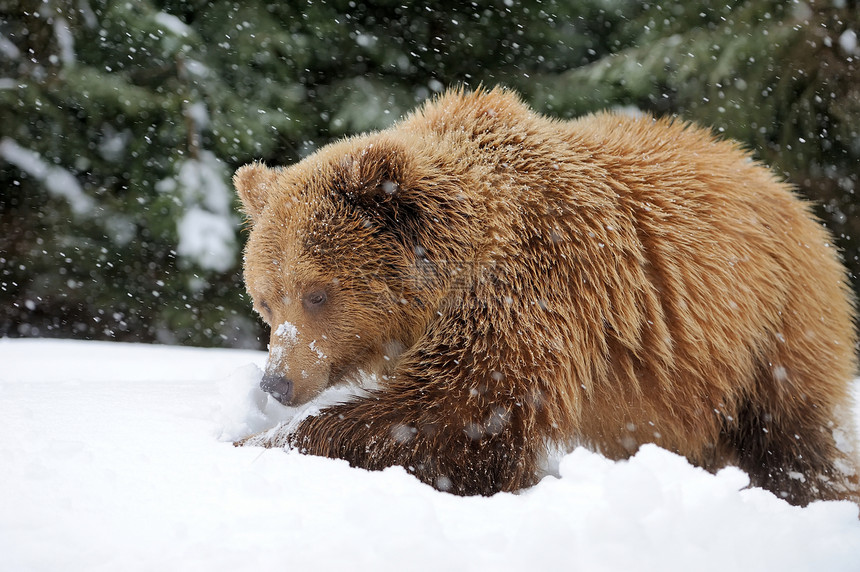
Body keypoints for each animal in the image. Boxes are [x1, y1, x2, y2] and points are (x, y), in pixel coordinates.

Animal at [233, 87, 860, 508]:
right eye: (265, 301)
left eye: (317, 294)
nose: (277, 382)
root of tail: (787, 190)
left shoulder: (530, 293)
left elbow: (456, 420)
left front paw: (262, 441)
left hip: (770, 327)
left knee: (790, 436)